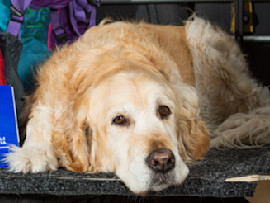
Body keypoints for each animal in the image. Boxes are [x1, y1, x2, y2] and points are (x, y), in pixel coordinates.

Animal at [4, 17, 270, 193]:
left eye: (164, 110)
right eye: (119, 119)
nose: (162, 161)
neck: (113, 60)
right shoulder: (50, 100)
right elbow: (39, 121)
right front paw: (32, 152)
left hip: (204, 42)